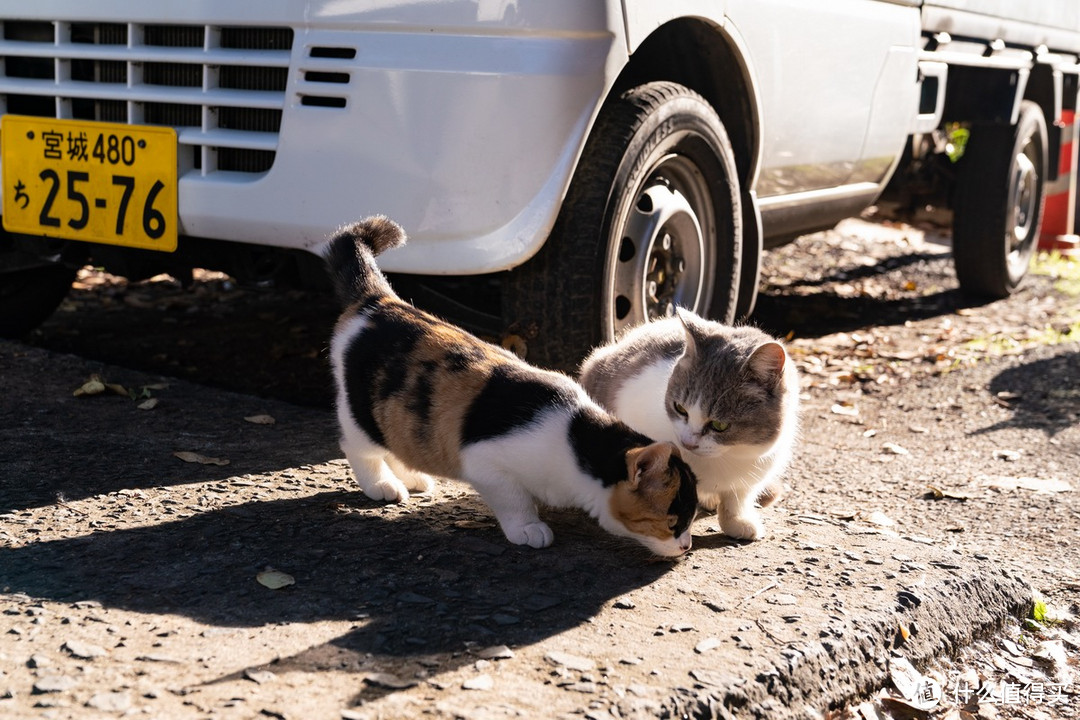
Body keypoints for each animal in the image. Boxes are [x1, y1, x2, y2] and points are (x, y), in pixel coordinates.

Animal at [578, 310, 799, 539]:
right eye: (680, 408)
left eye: (719, 425)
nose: (687, 443)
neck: (721, 458)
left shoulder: (754, 469)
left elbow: (737, 497)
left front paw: (737, 521)